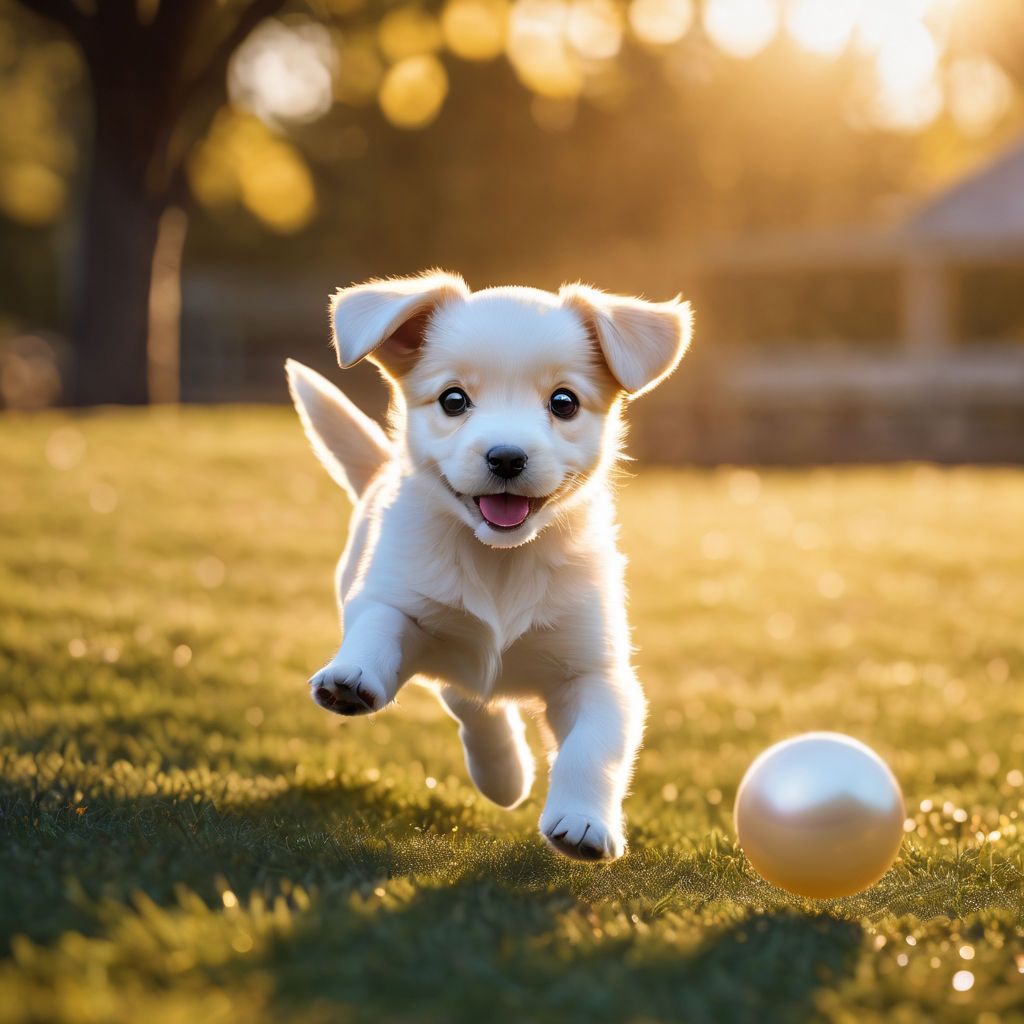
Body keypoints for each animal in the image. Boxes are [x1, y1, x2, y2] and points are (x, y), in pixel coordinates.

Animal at [284, 274, 692, 864]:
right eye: (454, 399)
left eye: (563, 402)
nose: (506, 457)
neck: (502, 560)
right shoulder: (398, 598)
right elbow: (380, 625)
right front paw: (352, 675)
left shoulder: (598, 672)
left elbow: (593, 747)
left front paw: (585, 822)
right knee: (471, 700)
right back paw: (503, 772)